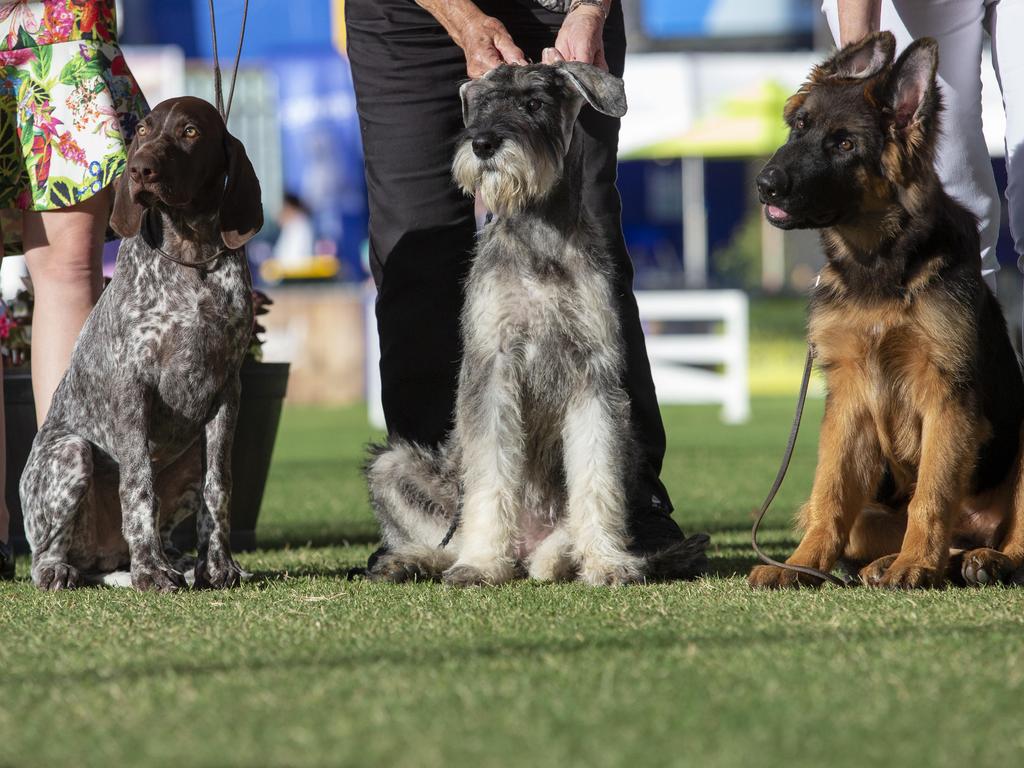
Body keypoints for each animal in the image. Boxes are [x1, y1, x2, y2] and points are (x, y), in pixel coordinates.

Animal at [20, 96, 262, 589]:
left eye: (190, 131)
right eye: (144, 130)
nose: (139, 170)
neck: (191, 257)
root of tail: (105, 559)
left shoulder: (227, 390)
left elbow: (219, 488)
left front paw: (217, 567)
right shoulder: (133, 386)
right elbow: (137, 487)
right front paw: (151, 572)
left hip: (187, 459)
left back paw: (178, 564)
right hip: (69, 454)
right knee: (45, 554)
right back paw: (70, 569)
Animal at [368, 63, 712, 589]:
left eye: (534, 104)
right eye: (483, 105)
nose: (483, 143)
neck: (540, 238)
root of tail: (525, 545)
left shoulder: (594, 375)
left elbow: (596, 476)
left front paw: (606, 561)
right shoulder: (493, 367)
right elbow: (490, 478)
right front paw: (482, 563)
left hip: (628, 444)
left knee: (556, 543)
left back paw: (559, 556)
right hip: (392, 466)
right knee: (446, 539)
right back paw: (415, 559)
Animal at [749, 31, 1024, 589]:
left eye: (845, 145)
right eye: (799, 127)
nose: (765, 184)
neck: (876, 268)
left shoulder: (947, 396)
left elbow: (932, 496)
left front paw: (916, 564)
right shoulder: (848, 397)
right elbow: (829, 494)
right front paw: (802, 565)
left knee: (1013, 541)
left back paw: (985, 560)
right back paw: (906, 563)